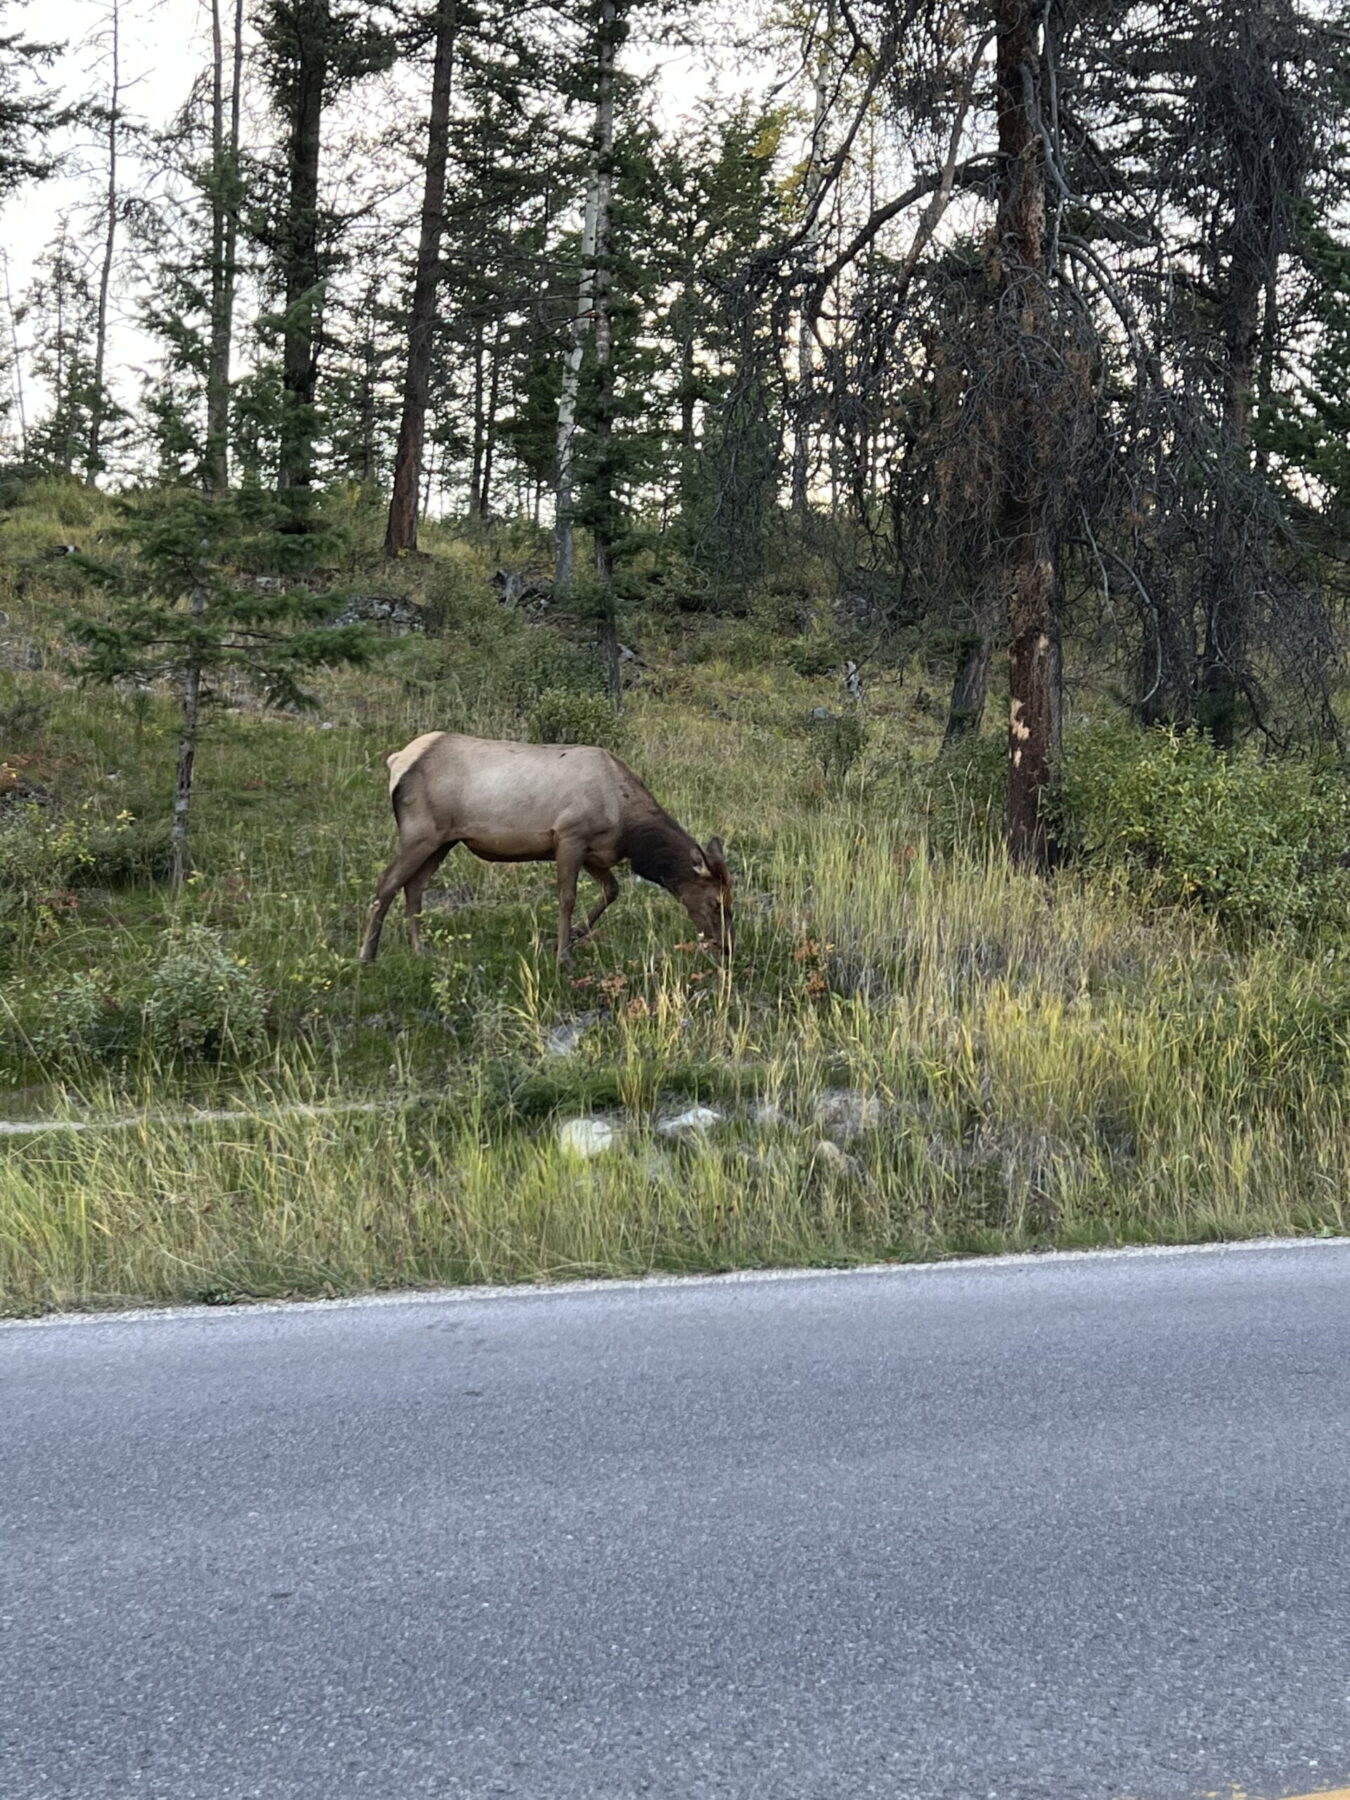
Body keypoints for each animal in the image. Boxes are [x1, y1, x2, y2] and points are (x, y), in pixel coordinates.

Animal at [359, 731, 733, 966]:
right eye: (715, 902)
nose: (726, 946)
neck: (627, 828)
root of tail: (396, 761)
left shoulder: (595, 851)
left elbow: (611, 890)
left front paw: (570, 937)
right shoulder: (569, 835)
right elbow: (567, 897)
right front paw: (563, 954)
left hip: (443, 840)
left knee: (414, 887)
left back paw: (420, 950)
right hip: (419, 832)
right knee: (387, 883)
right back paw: (367, 954)